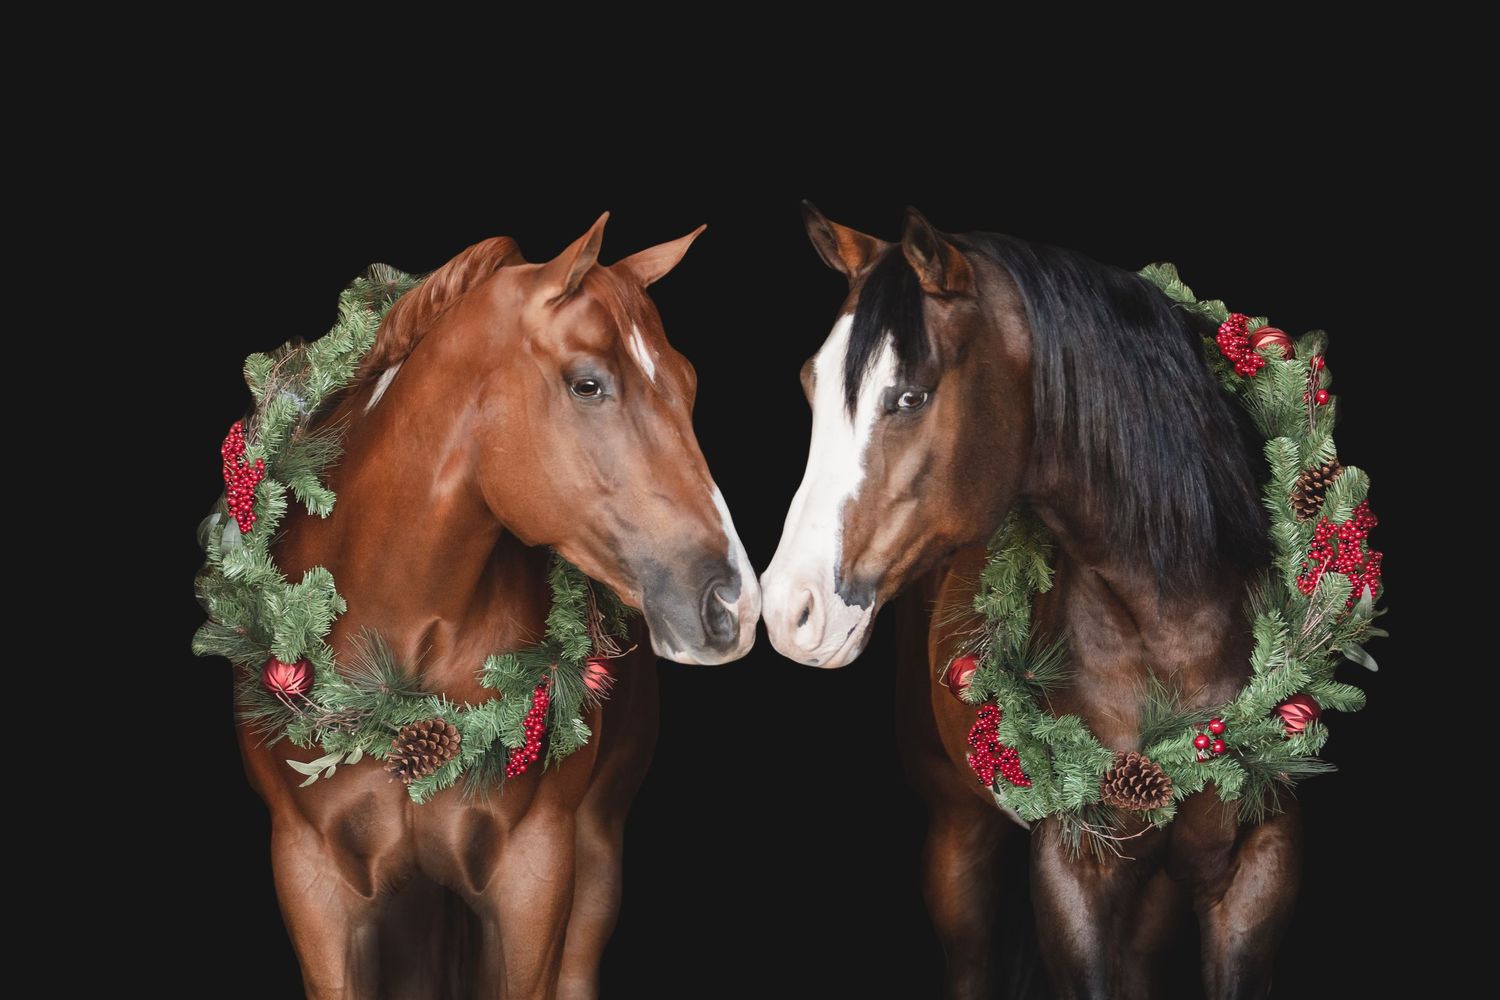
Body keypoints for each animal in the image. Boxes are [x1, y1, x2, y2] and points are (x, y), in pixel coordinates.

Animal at [248, 213, 760, 998]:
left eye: (689, 385)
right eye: (588, 384)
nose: (733, 603)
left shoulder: (533, 877)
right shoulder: (313, 883)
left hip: (594, 864)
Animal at [761, 204, 1292, 998]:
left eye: (910, 395)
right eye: (809, 385)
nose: (787, 610)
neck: (1176, 629)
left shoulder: (1256, 873)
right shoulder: (1073, 867)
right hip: (959, 838)